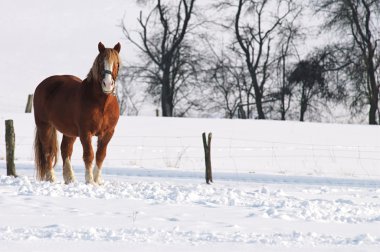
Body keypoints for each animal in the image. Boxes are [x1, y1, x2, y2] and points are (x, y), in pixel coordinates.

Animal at [34, 42, 121, 184]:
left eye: (117, 63)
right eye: (100, 62)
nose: (107, 84)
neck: (102, 104)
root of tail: (42, 85)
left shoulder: (108, 133)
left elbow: (100, 155)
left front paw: (97, 180)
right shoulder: (85, 133)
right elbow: (89, 155)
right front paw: (89, 180)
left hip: (70, 132)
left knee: (65, 150)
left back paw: (70, 179)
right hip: (44, 126)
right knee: (48, 151)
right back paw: (51, 177)